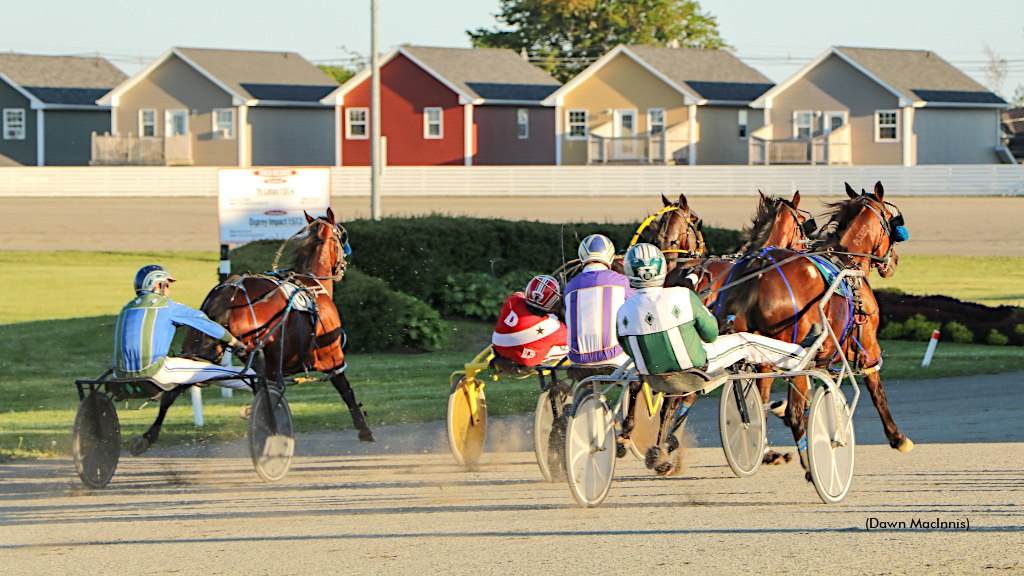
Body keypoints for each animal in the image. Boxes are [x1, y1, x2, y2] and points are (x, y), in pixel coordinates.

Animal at [130, 206, 372, 453]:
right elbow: (346, 390)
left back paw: (147, 437)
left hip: (197, 346)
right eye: (343, 236)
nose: (343, 266)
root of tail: (229, 291)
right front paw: (364, 429)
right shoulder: (332, 355)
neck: (311, 285)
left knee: (174, 389)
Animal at [712, 179, 913, 475]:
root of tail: (758, 271)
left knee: (755, 403)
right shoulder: (866, 344)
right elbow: (876, 388)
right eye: (891, 220)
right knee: (794, 412)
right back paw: (811, 463)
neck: (847, 261)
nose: (894, 262)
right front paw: (897, 437)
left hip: (760, 352)